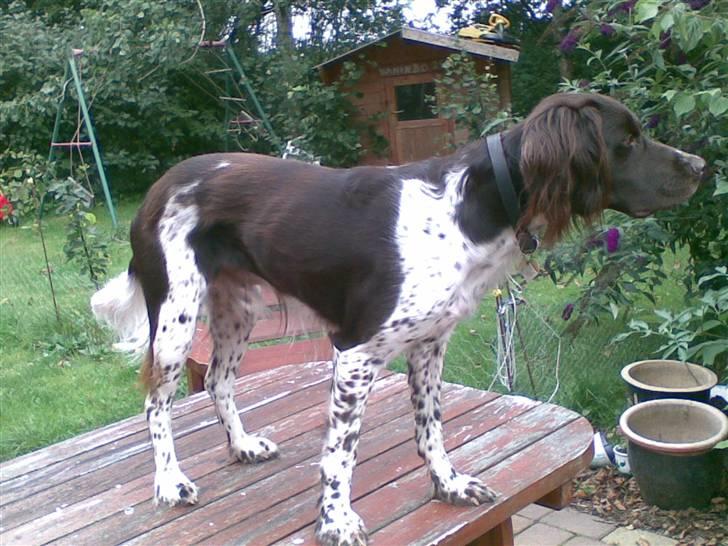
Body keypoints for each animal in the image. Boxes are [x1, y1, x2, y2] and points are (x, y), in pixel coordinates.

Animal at [91, 93, 704, 544]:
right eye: (628, 141)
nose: (700, 165)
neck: (467, 207)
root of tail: (158, 186)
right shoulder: (355, 352)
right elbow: (341, 454)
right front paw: (335, 520)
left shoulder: (430, 345)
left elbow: (431, 428)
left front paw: (448, 485)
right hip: (176, 317)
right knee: (157, 404)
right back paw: (170, 481)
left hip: (236, 307)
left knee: (218, 380)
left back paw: (241, 446)